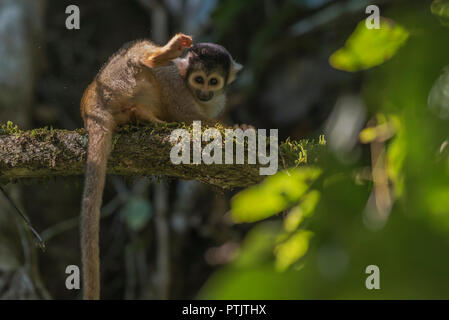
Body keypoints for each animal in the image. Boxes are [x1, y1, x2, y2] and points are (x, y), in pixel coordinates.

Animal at [79, 33, 243, 298]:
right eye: (199, 79)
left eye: (213, 82)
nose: (204, 93)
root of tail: (90, 104)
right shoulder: (176, 83)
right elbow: (186, 114)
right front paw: (241, 129)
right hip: (115, 79)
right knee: (143, 59)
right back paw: (160, 56)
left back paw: (140, 115)